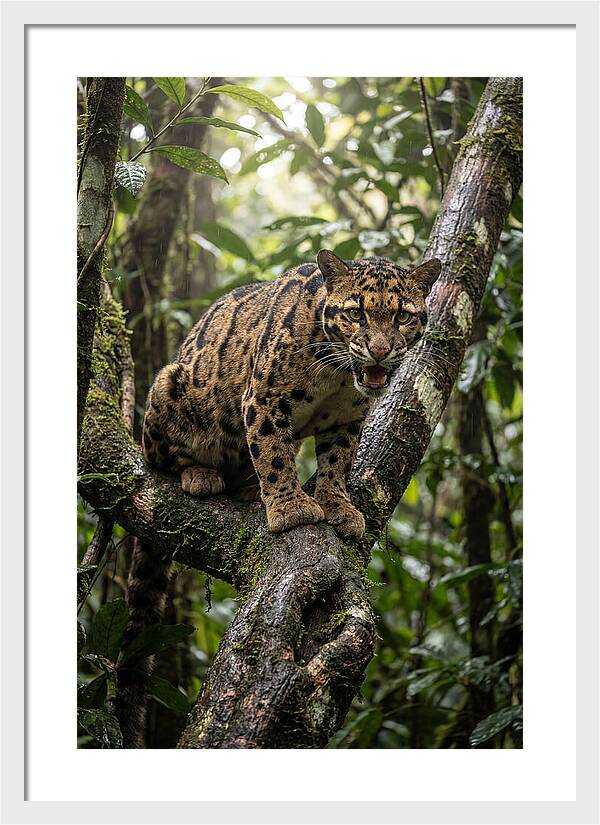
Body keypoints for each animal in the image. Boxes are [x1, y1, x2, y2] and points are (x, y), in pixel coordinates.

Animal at [142, 249, 441, 540]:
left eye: (402, 317)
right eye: (356, 314)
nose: (379, 351)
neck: (337, 374)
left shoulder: (348, 418)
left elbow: (338, 462)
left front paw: (338, 505)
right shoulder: (264, 399)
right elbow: (273, 454)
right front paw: (291, 507)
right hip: (168, 383)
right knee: (164, 460)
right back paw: (201, 474)